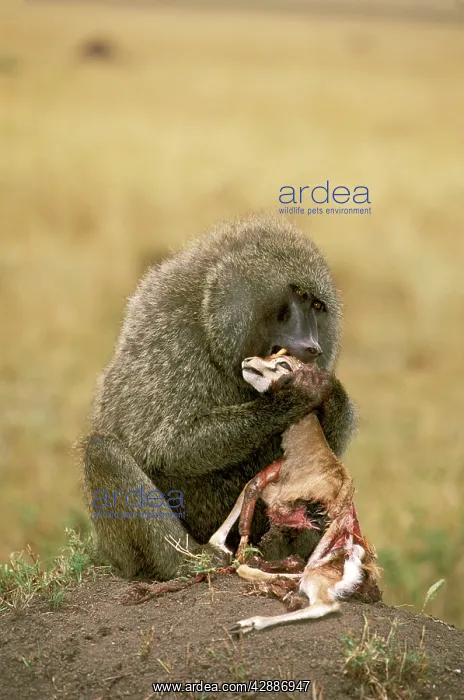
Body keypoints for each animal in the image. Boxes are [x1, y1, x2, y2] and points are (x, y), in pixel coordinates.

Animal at [80, 214, 356, 580]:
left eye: (317, 305)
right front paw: (291, 396)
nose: (312, 346)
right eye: (297, 293)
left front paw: (331, 393)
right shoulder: (174, 336)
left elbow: (318, 456)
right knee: (102, 451)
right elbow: (166, 446)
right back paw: (190, 562)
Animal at [206, 352, 380, 633]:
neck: (309, 452)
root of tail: (360, 563)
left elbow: (248, 494)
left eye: (284, 364)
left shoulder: (274, 496)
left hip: (315, 578)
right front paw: (220, 547)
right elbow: (247, 489)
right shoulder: (267, 479)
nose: (248, 360)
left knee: (325, 605)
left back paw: (249, 621)